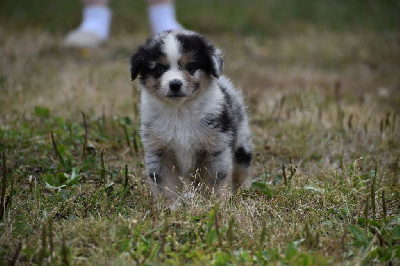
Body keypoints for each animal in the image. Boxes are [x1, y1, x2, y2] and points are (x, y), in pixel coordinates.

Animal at [130, 29, 252, 204]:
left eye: (190, 67)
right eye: (160, 68)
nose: (175, 84)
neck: (180, 112)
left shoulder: (215, 149)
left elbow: (212, 183)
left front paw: (211, 204)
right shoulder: (159, 151)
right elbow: (165, 185)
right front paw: (169, 207)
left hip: (241, 144)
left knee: (241, 172)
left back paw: (243, 195)